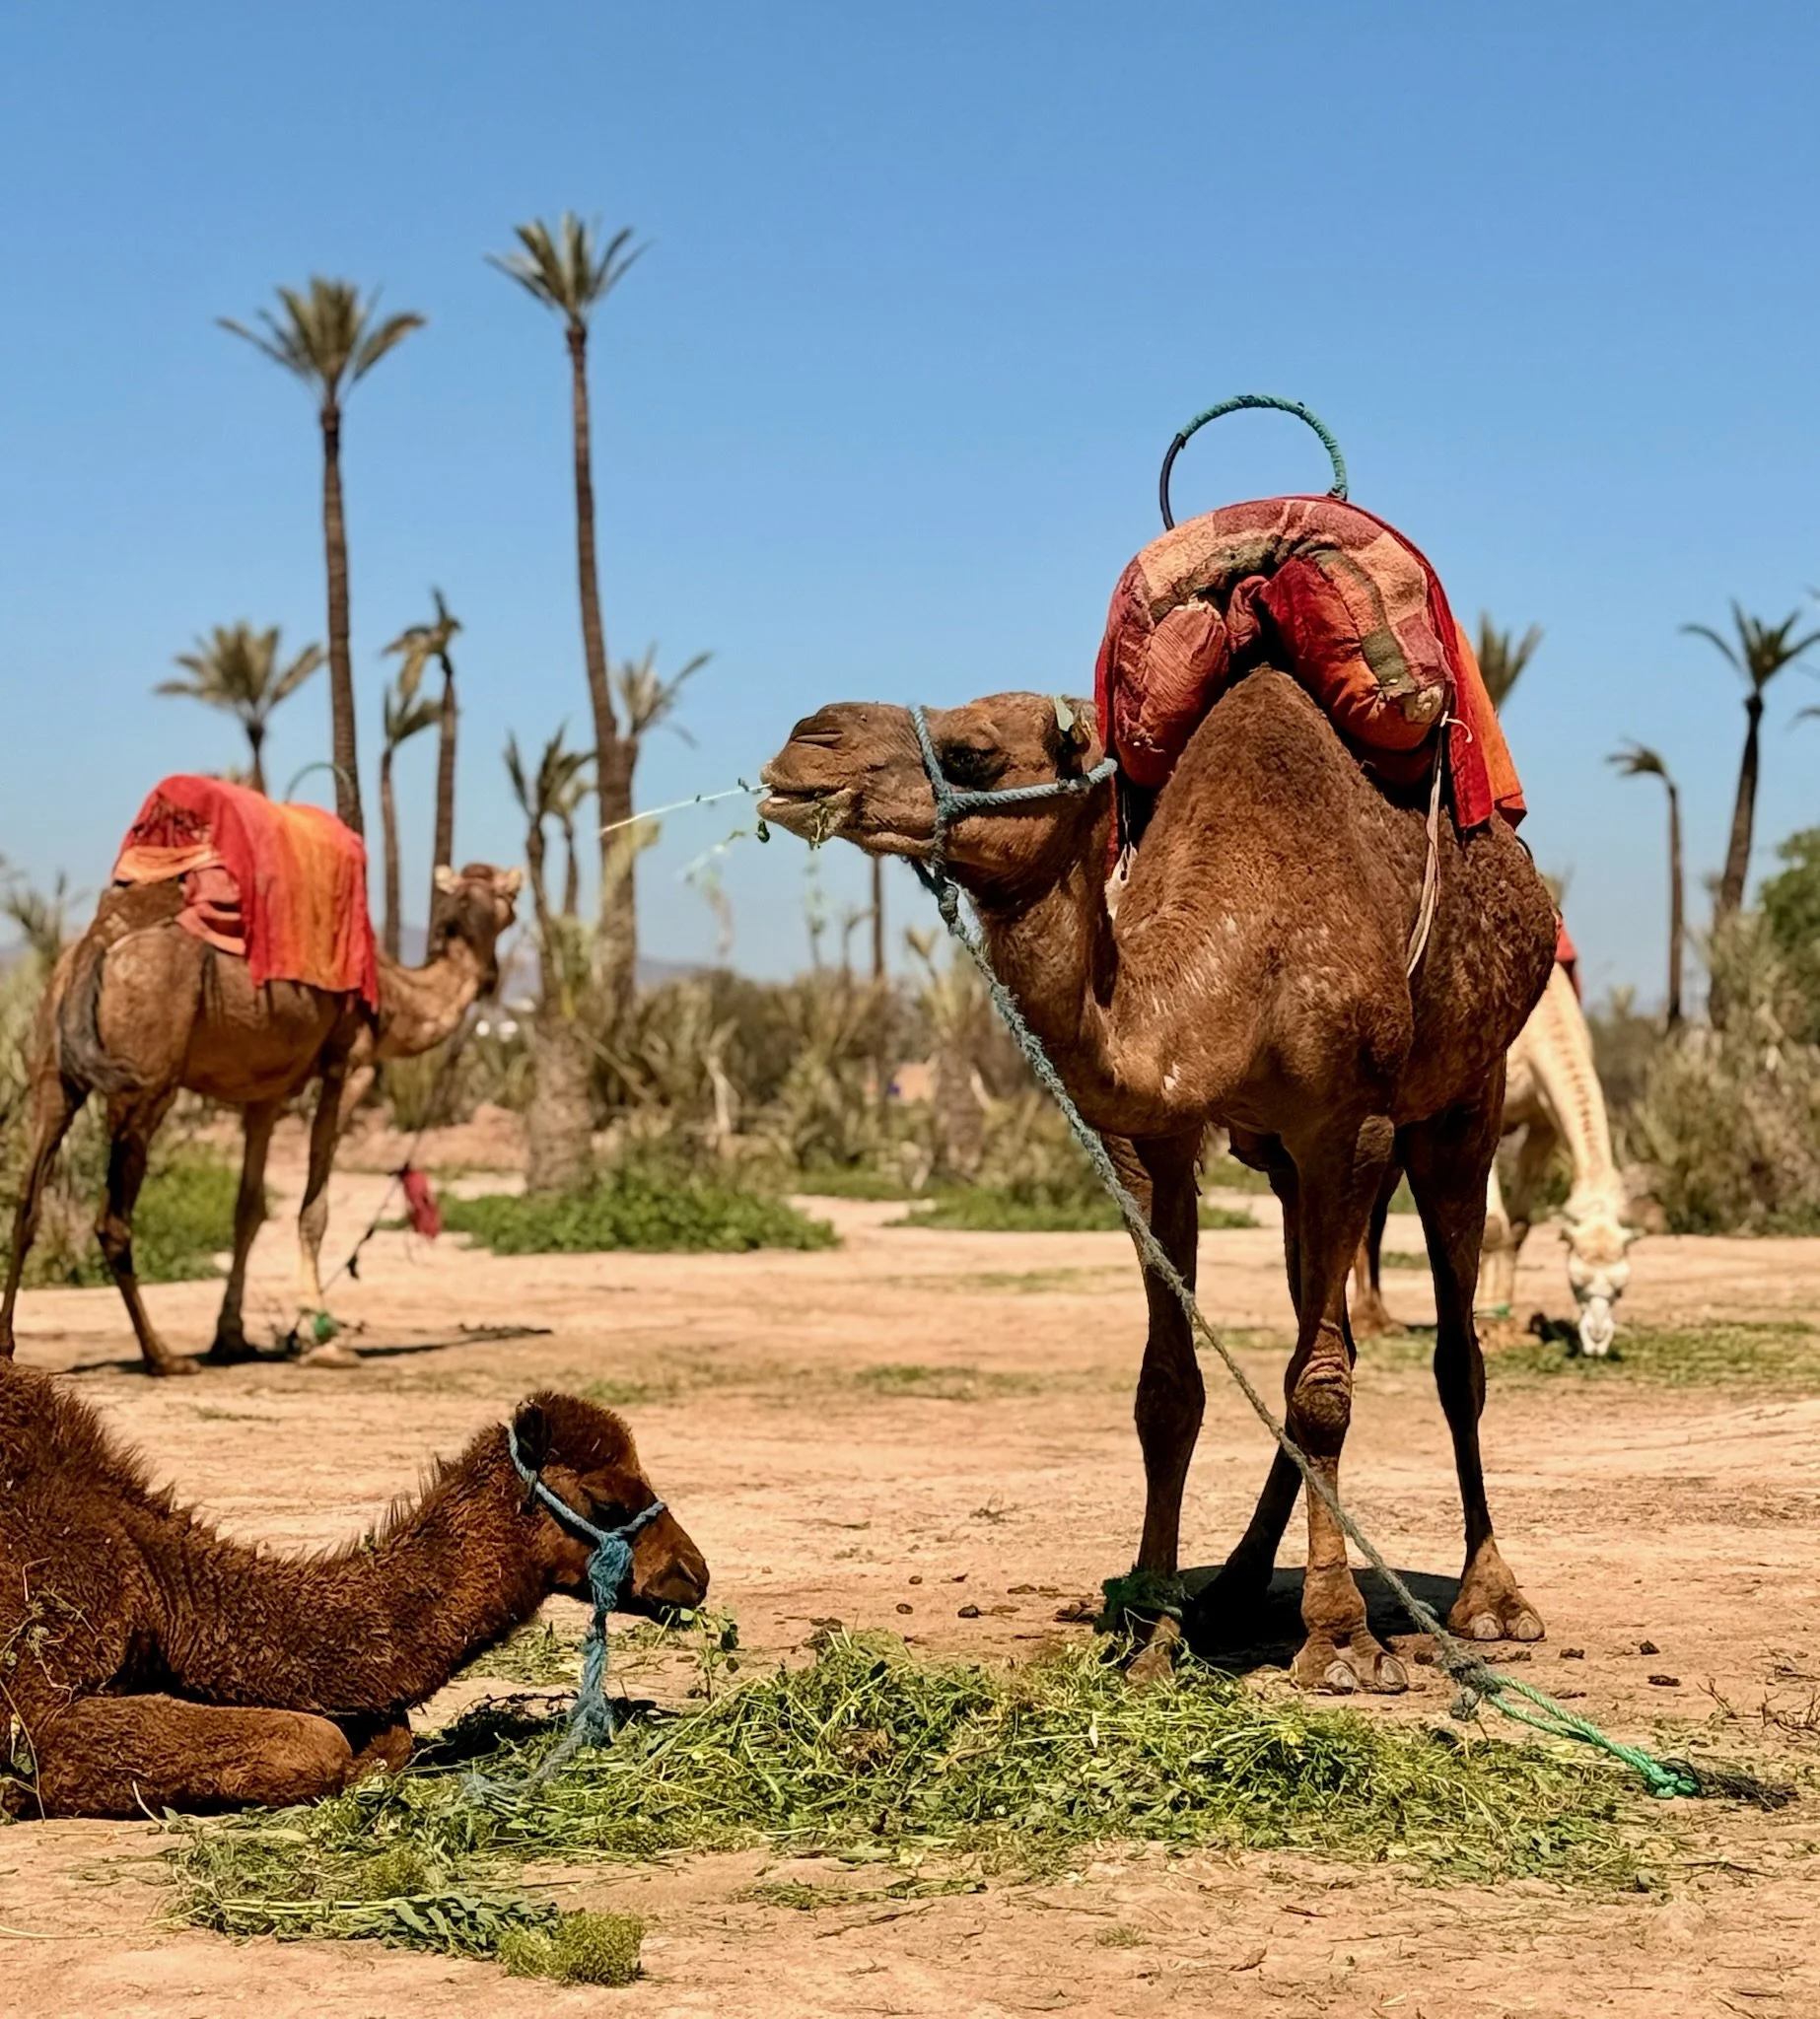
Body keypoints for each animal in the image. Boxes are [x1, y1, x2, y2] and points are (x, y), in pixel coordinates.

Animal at [0, 863, 520, 1377]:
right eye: (510, 896)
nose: (493, 978)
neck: (394, 996)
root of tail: (96, 943)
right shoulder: (348, 1065)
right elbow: (314, 1209)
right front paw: (322, 1338)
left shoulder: (265, 1094)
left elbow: (248, 1210)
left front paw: (231, 1338)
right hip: (144, 1081)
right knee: (112, 1220)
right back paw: (163, 1356)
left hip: (51, 1068)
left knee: (27, 1202)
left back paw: (8, 1345)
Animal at [0, 1364, 707, 1817]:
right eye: (608, 1501)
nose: (695, 1573)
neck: (164, 1580)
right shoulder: (44, 1692)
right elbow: (316, 1741)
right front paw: (17, 1794)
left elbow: (390, 1734)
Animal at [762, 674, 1556, 1693]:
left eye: (974, 752)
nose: (804, 741)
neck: (1239, 954)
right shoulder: (1160, 1138)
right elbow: (1172, 1392)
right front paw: (1151, 1628)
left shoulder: (1353, 1126)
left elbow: (1323, 1391)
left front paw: (1341, 1641)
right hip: (1288, 1168)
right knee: (1318, 1339)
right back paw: (1235, 1589)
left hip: (1466, 1101)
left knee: (1454, 1356)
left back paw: (1490, 1599)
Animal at [1353, 962, 1635, 1354]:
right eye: (1576, 1282)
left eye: (1620, 1288)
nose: (1596, 1340)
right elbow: (1494, 1223)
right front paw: (1486, 1320)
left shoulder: (1542, 1123)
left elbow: (1519, 1225)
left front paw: (1506, 1316)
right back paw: (1365, 1322)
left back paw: (1380, 1318)